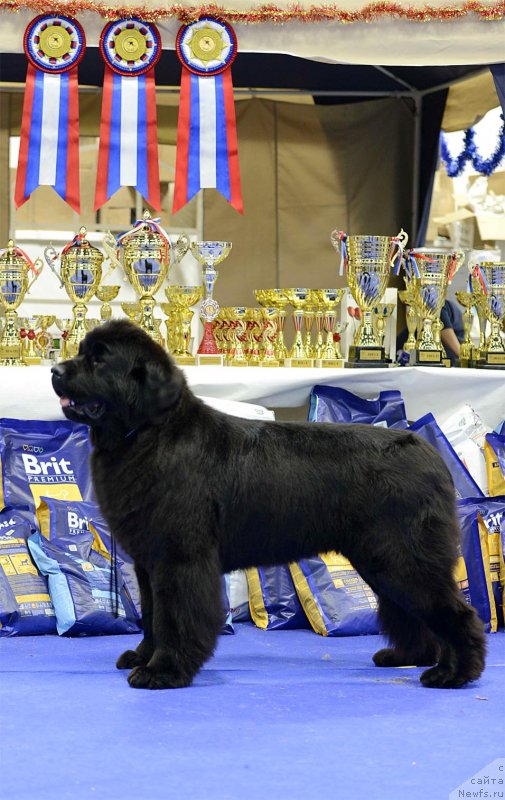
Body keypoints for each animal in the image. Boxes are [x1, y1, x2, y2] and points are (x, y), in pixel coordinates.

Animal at [50, 318, 484, 688]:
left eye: (99, 359)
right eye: (83, 350)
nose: (55, 370)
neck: (148, 433)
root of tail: (429, 453)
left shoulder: (179, 558)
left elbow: (174, 616)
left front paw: (162, 671)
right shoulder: (148, 561)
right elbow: (153, 615)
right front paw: (143, 656)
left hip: (401, 558)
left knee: (455, 612)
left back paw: (454, 673)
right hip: (385, 561)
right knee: (411, 612)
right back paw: (407, 657)